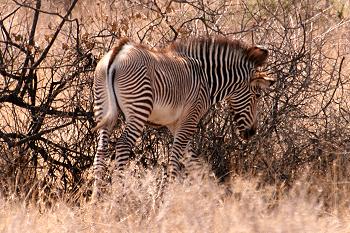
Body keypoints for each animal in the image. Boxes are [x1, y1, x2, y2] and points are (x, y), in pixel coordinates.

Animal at [91, 36, 274, 200]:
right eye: (258, 96)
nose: (252, 133)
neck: (207, 80)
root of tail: (119, 51)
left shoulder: (175, 123)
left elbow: (192, 160)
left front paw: (209, 192)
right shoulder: (190, 118)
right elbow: (177, 156)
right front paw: (168, 196)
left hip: (102, 106)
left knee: (101, 150)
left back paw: (96, 199)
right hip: (139, 108)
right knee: (123, 144)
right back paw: (119, 196)